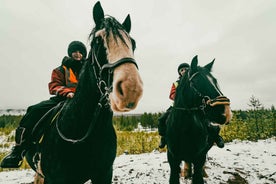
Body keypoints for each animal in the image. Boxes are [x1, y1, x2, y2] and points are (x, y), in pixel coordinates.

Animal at [167, 55, 232, 183]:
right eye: (196, 82)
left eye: (215, 81)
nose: (226, 112)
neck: (184, 129)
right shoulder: (173, 159)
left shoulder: (199, 157)